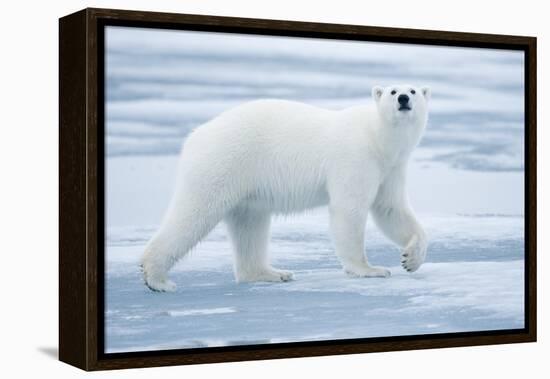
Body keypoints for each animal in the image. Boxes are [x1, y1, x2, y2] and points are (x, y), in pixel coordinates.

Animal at [141, 84, 432, 292]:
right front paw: (370, 269)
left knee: (250, 227)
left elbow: (390, 209)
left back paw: (271, 273)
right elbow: (349, 210)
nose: (403, 99)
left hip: (246, 186)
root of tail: (195, 136)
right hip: (222, 163)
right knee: (194, 214)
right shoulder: (356, 157)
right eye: (393, 91)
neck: (377, 137)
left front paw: (411, 258)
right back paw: (157, 278)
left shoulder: (391, 167)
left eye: (413, 90)